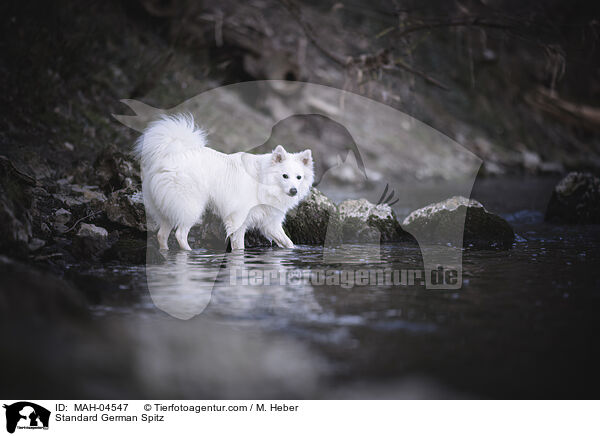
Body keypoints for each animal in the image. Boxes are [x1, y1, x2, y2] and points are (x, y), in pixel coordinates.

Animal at [132, 114, 314, 250]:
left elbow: (289, 243)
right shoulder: (237, 220)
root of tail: (169, 156)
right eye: (285, 176)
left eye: (299, 177)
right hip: (191, 207)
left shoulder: (270, 223)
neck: (262, 181)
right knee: (180, 234)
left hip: (168, 209)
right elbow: (239, 246)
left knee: (162, 235)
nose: (294, 190)